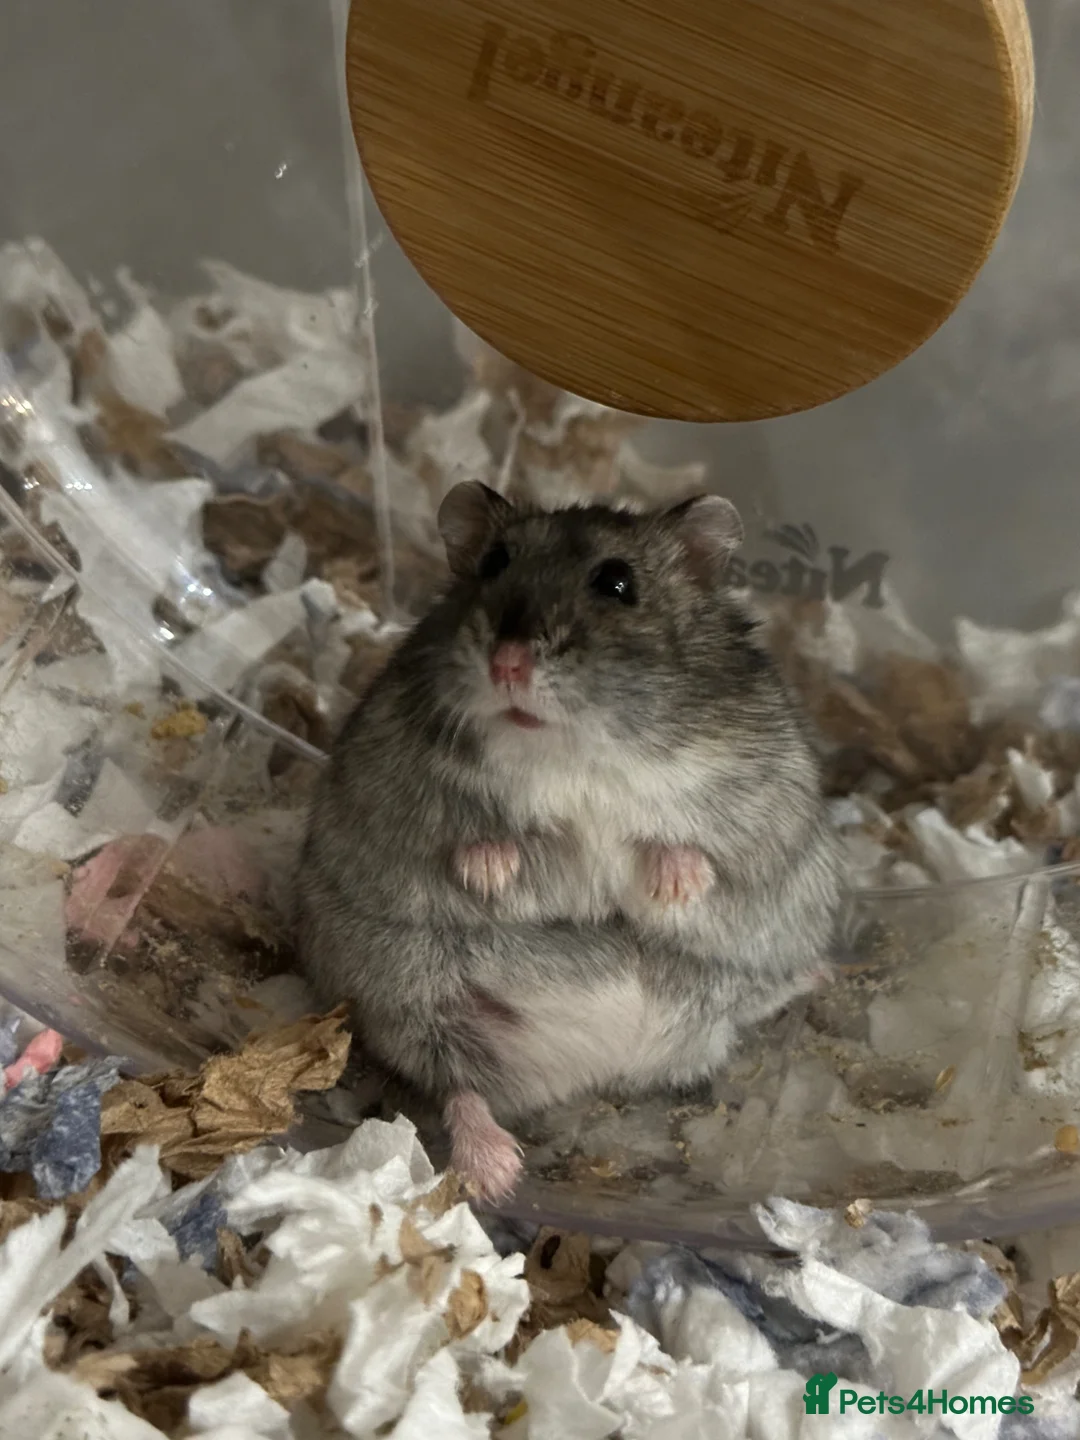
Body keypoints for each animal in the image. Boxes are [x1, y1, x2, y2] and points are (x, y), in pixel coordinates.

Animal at [296, 482, 843, 1201]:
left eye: (616, 582)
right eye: (494, 563)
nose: (507, 663)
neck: (568, 751)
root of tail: (597, 1067)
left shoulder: (765, 800)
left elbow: (694, 850)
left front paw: (675, 886)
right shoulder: (387, 785)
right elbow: (467, 838)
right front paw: (491, 874)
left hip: (744, 966)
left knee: (758, 996)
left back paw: (819, 972)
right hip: (408, 989)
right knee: (457, 1084)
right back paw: (494, 1173)